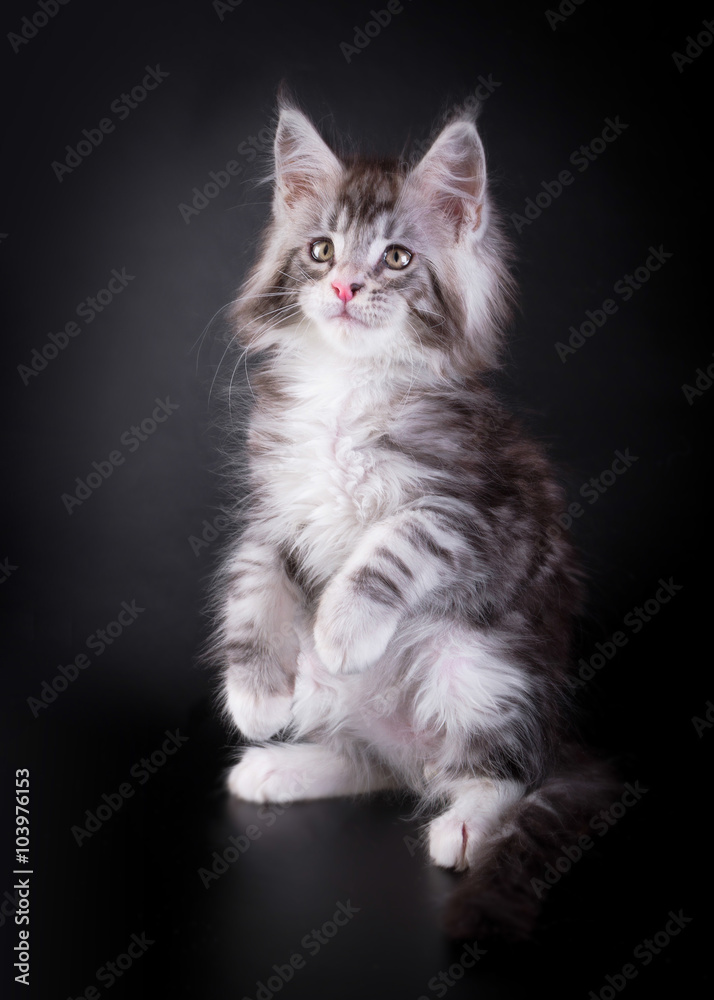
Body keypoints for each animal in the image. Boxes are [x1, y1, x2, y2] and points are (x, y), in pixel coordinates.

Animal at [207, 92, 612, 936]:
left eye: (395, 259)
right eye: (322, 250)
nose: (344, 289)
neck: (347, 384)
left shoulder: (476, 511)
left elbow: (394, 541)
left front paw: (340, 627)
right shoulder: (273, 507)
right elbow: (250, 585)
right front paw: (255, 696)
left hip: (479, 668)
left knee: (501, 771)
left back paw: (466, 825)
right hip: (361, 713)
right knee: (377, 762)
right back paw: (279, 762)